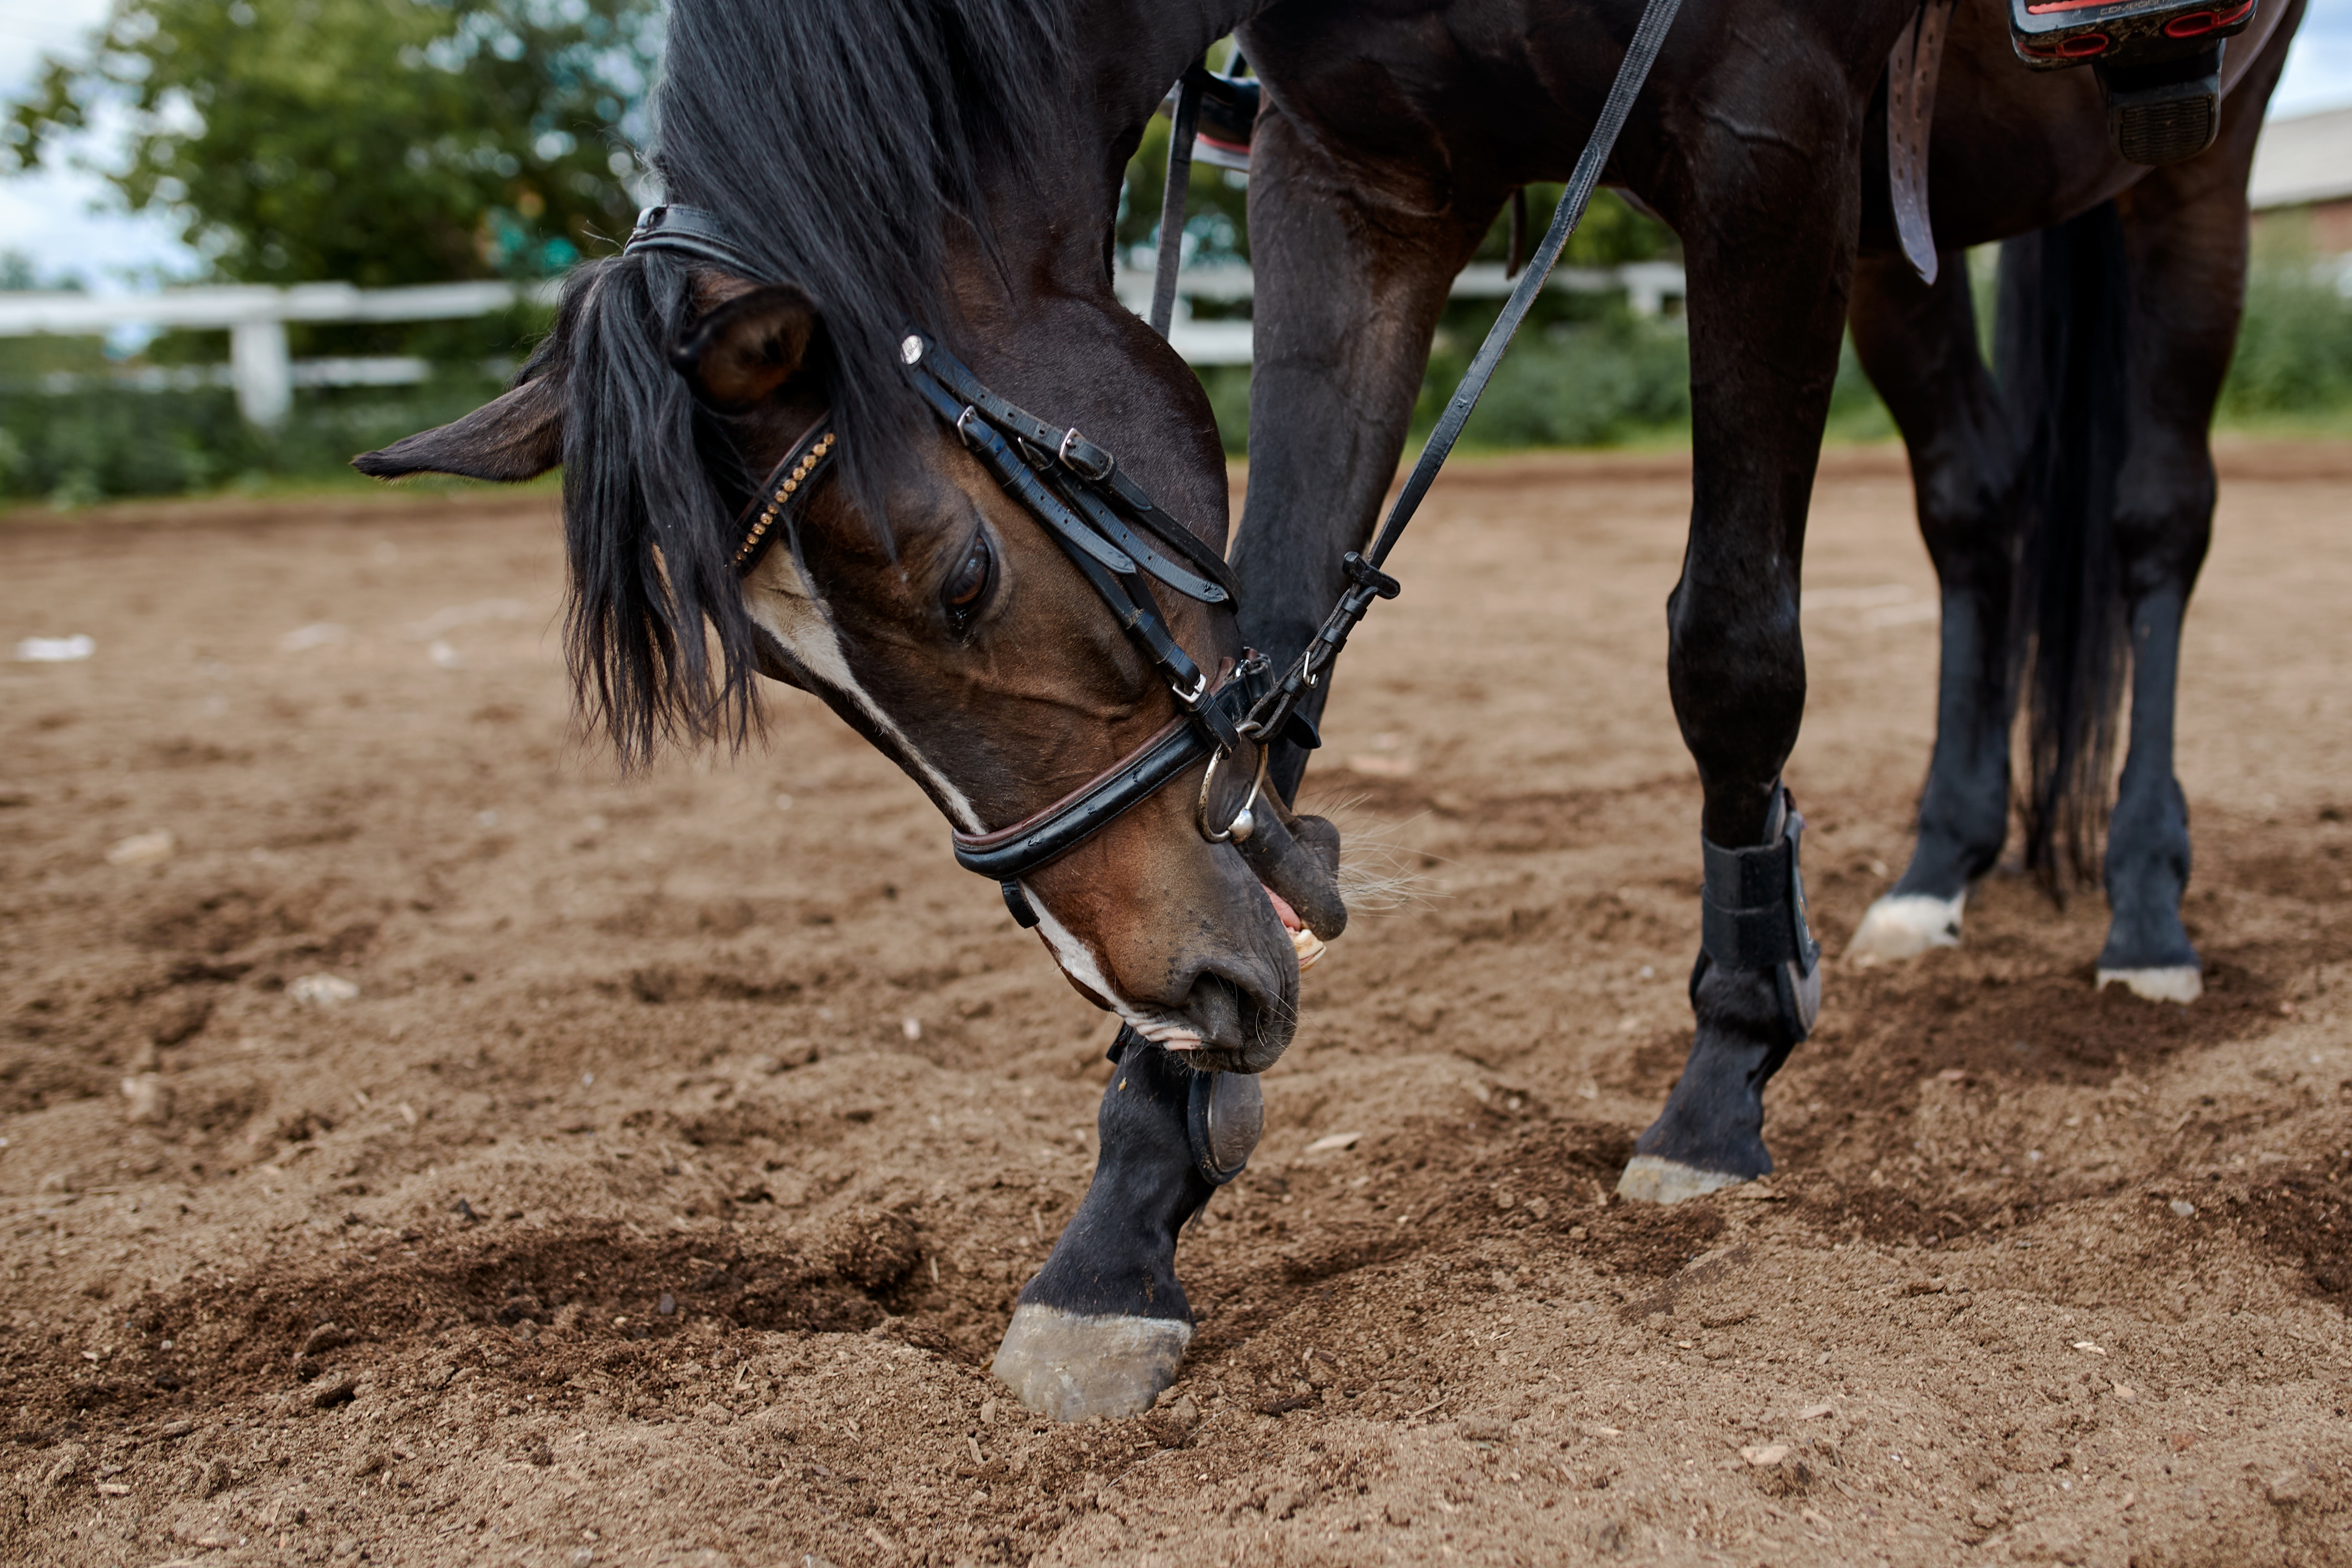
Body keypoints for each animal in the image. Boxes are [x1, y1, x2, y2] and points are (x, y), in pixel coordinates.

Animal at [1226, 0, 2301, 1204]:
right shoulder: (1348, 169)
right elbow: (1265, 635)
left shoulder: (1771, 138)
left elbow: (1732, 652)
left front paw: (1723, 1074)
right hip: (1898, 228)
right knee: (1975, 505)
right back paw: (1937, 870)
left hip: (2196, 161)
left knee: (2159, 516)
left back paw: (2148, 907)